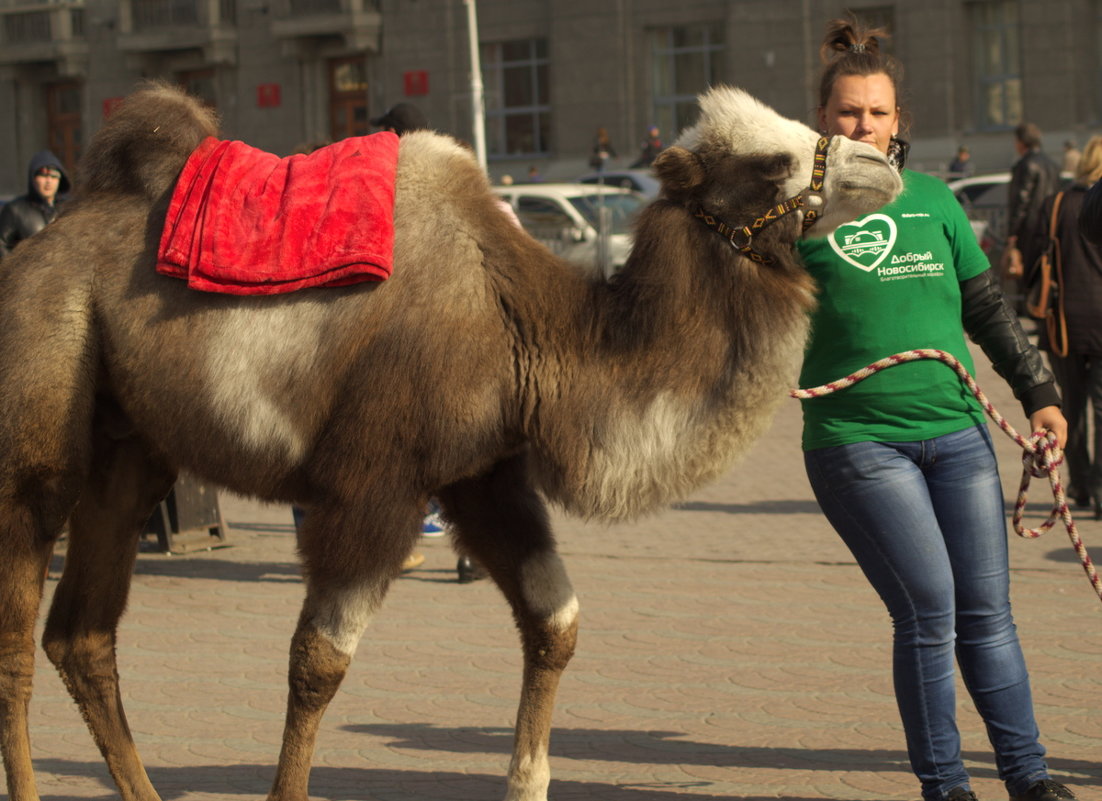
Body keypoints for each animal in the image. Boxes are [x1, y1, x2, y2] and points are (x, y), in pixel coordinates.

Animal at [0, 83, 899, 801]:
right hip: (37, 434)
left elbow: (556, 621)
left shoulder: (484, 474)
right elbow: (318, 662)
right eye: (772, 161)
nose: (885, 159)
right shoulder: (376, 484)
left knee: (80, 634)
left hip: (128, 451)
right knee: (19, 621)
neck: (529, 326)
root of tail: (38, 250)